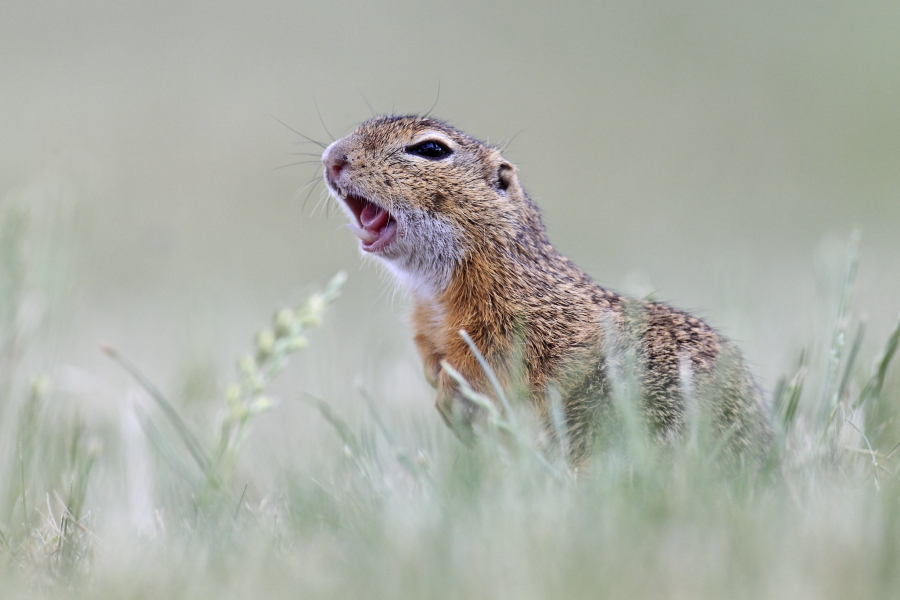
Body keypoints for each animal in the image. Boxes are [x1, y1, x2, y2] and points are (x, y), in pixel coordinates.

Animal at [321, 115, 772, 463]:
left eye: (430, 149)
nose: (332, 158)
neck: (437, 287)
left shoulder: (522, 325)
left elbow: (489, 366)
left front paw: (451, 397)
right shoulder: (428, 328)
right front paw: (440, 390)